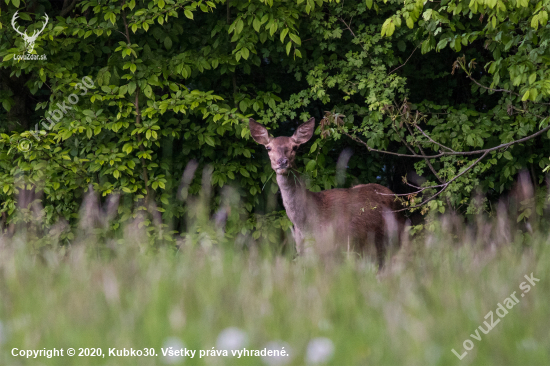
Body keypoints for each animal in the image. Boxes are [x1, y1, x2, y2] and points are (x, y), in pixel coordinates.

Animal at [249, 117, 406, 268]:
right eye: (268, 148)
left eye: (295, 147)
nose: (282, 162)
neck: (307, 223)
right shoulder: (305, 252)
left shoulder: (337, 249)